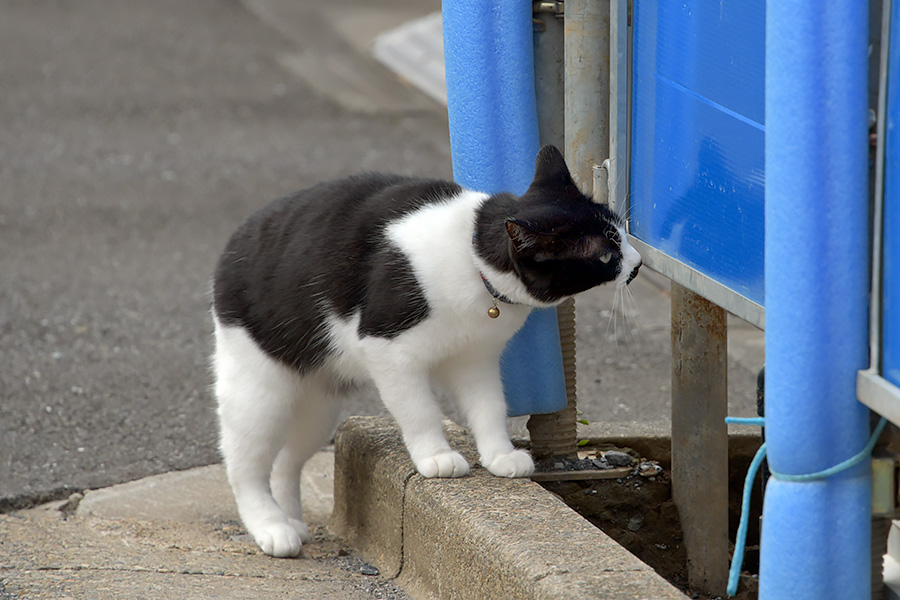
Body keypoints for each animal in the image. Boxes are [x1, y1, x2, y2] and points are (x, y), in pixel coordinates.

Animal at [213, 145, 640, 556]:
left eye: (623, 232)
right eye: (605, 255)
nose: (637, 264)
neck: (472, 254)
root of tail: (236, 239)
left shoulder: (477, 360)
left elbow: (489, 405)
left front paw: (499, 454)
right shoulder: (387, 351)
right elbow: (419, 409)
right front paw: (436, 456)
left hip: (319, 406)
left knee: (286, 460)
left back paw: (292, 520)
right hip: (261, 390)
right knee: (244, 464)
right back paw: (272, 528)